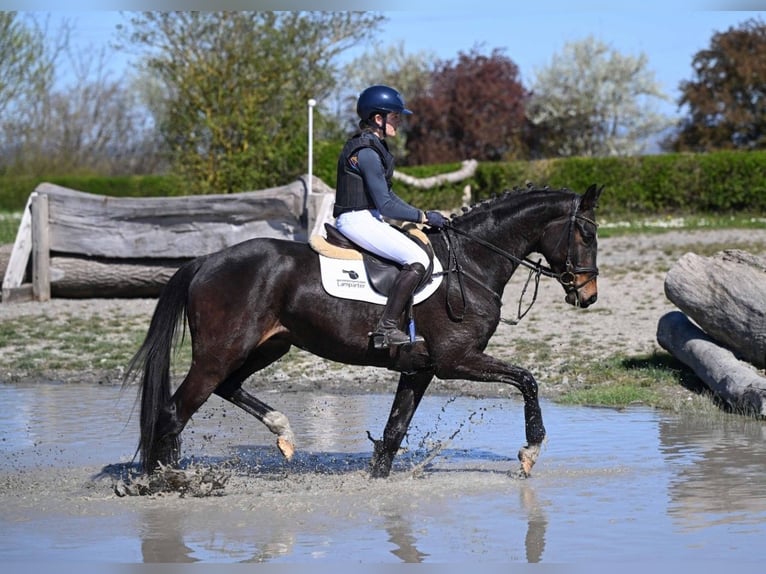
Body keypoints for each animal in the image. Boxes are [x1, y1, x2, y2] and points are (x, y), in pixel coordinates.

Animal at [125, 183, 603, 479]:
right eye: (585, 233)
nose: (589, 294)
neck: (469, 261)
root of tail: (206, 261)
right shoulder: (456, 361)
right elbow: (527, 380)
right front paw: (530, 453)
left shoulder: (421, 369)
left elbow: (393, 432)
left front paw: (377, 483)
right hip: (220, 353)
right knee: (174, 412)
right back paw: (167, 482)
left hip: (267, 346)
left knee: (226, 388)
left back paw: (283, 433)